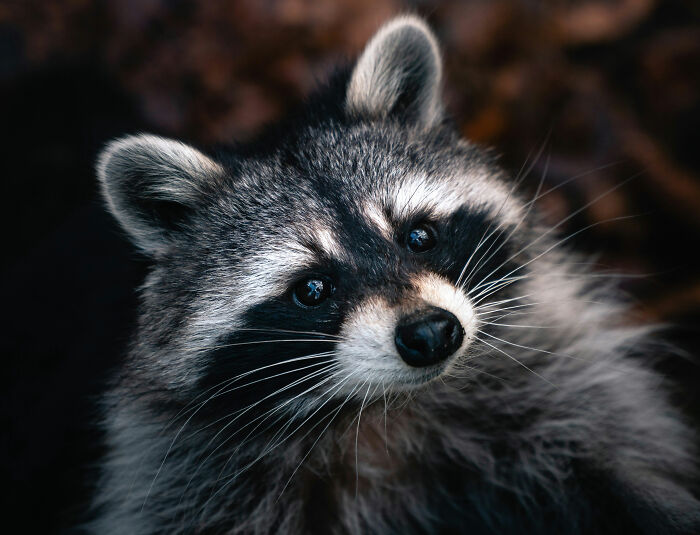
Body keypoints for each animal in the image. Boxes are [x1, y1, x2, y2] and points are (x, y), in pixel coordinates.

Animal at [91, 15, 700, 535]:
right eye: (312, 289)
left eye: (419, 236)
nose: (431, 334)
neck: (385, 406)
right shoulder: (189, 480)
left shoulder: (562, 392)